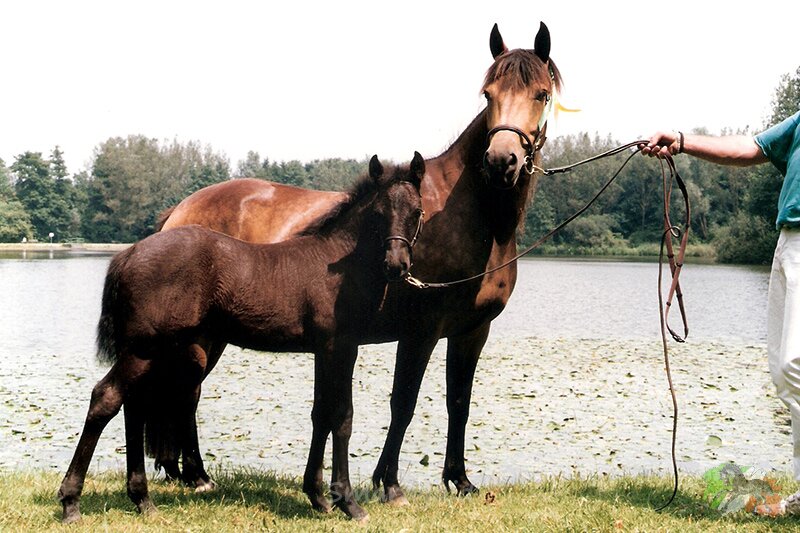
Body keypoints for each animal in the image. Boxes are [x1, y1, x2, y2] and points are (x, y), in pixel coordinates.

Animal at [58, 153, 427, 523]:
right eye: (379, 212)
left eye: (417, 211)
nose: (397, 265)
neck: (338, 266)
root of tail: (128, 253)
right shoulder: (342, 347)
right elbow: (342, 416)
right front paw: (348, 502)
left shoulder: (324, 351)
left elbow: (320, 414)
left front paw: (318, 497)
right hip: (145, 349)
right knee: (106, 398)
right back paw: (71, 501)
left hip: (152, 350)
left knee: (133, 405)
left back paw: (142, 499)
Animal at [155, 22, 562, 505]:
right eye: (488, 93)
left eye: (540, 94)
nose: (501, 161)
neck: (472, 218)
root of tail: (179, 212)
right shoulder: (421, 329)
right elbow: (403, 402)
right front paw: (388, 483)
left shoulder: (472, 331)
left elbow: (458, 402)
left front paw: (460, 480)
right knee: (188, 391)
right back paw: (197, 475)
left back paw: (186, 472)